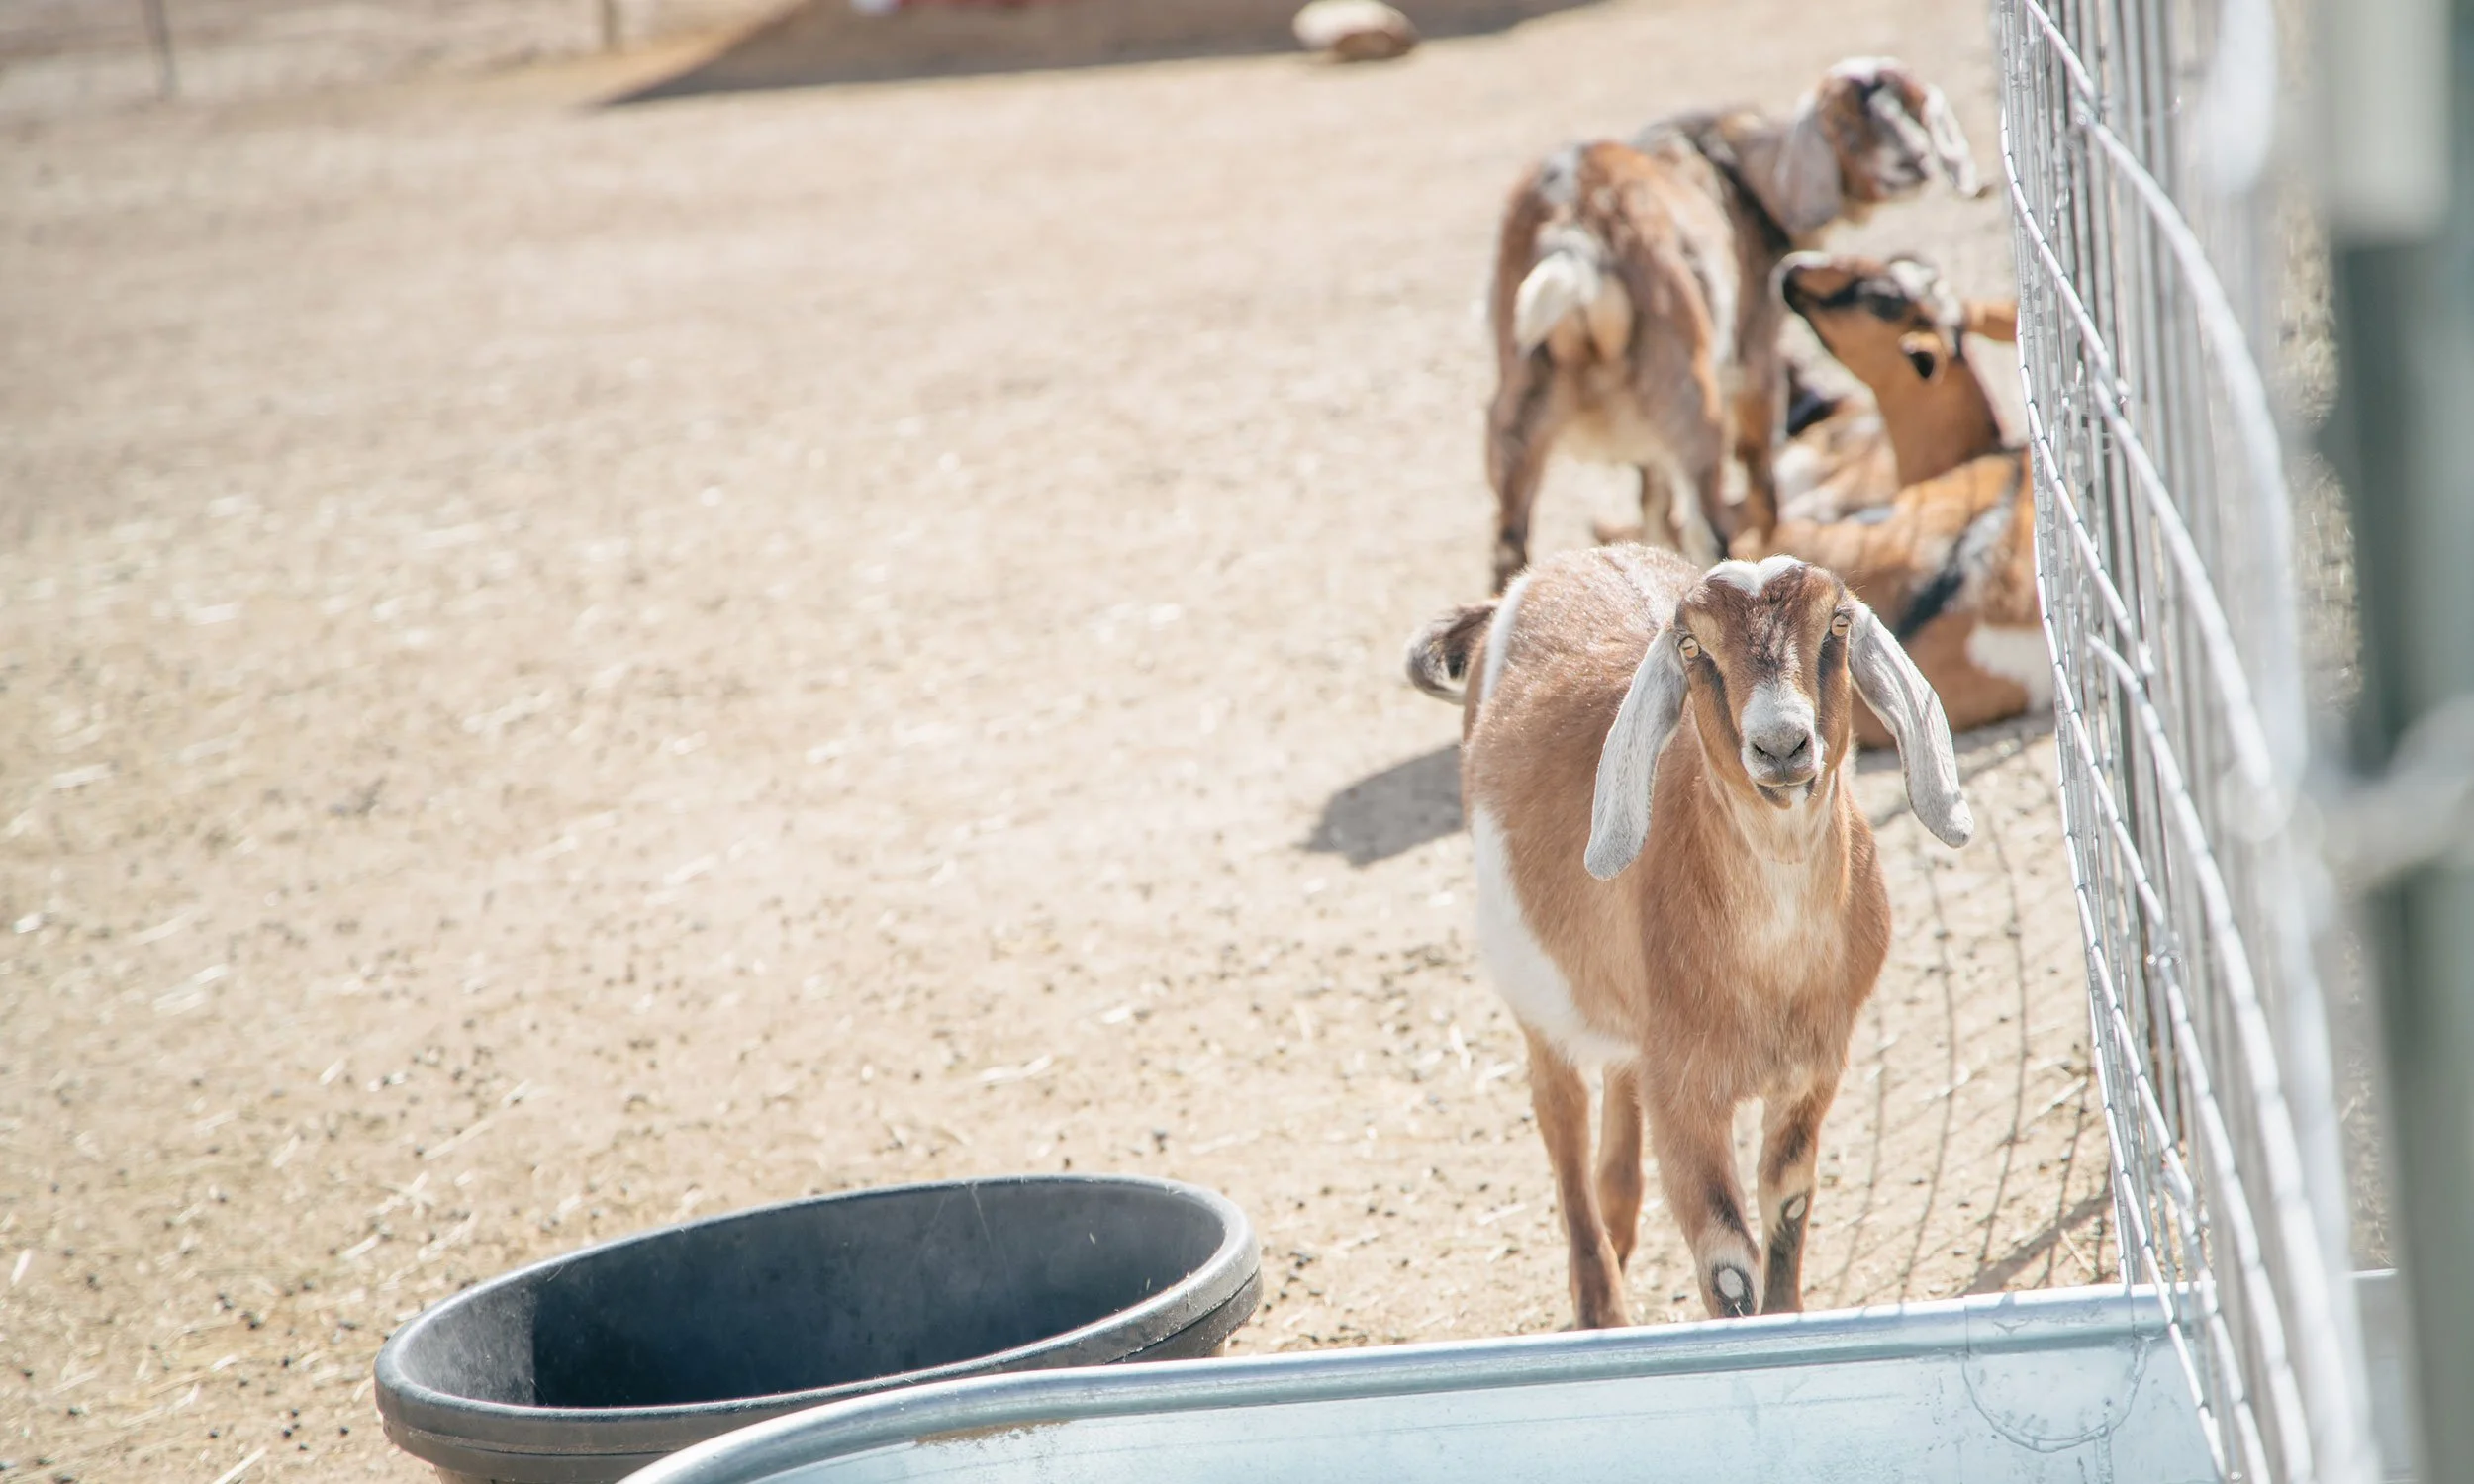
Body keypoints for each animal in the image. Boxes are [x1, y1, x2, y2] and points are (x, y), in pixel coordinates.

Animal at [1405, 547, 1971, 1325]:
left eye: (1836, 624)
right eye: (1692, 647)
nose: (1781, 744)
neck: (1771, 967)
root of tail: (1559, 566)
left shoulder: (1812, 1072)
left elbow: (1787, 1204)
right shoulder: (1685, 1092)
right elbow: (1728, 1266)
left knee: (1615, 1096)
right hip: (1535, 995)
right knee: (1561, 1119)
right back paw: (1600, 1306)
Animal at [1483, 58, 1981, 593]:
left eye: (1910, 105)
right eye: (1844, 124)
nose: (1915, 162)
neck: (1745, 178)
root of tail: (1575, 229)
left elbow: (1653, 498)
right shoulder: (1755, 360)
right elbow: (1761, 482)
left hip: (1522, 408)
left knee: (1509, 546)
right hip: (1691, 400)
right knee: (1710, 522)